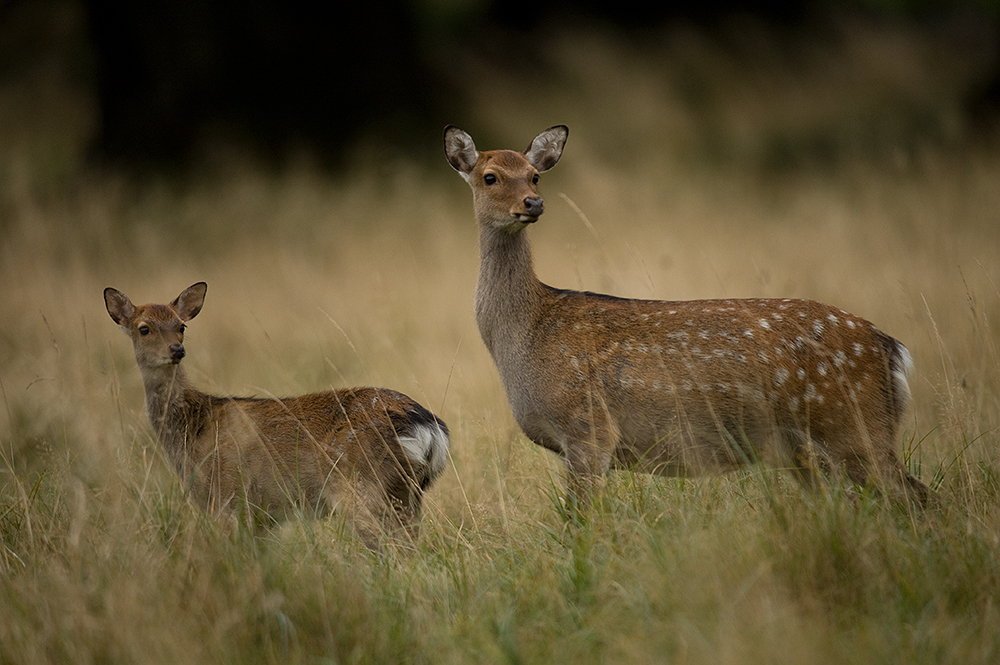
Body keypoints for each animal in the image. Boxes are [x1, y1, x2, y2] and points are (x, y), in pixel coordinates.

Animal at [103, 280, 448, 544]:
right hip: (407, 494)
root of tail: (427, 427)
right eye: (144, 328)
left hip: (358, 486)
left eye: (181, 326)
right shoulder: (260, 516)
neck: (193, 427)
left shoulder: (226, 499)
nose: (177, 350)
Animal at [446, 123, 928, 508]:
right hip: (807, 448)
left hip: (853, 425)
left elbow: (580, 521)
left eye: (534, 175)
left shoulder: (589, 428)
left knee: (918, 497)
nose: (533, 203)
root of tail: (889, 347)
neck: (526, 333)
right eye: (490, 176)